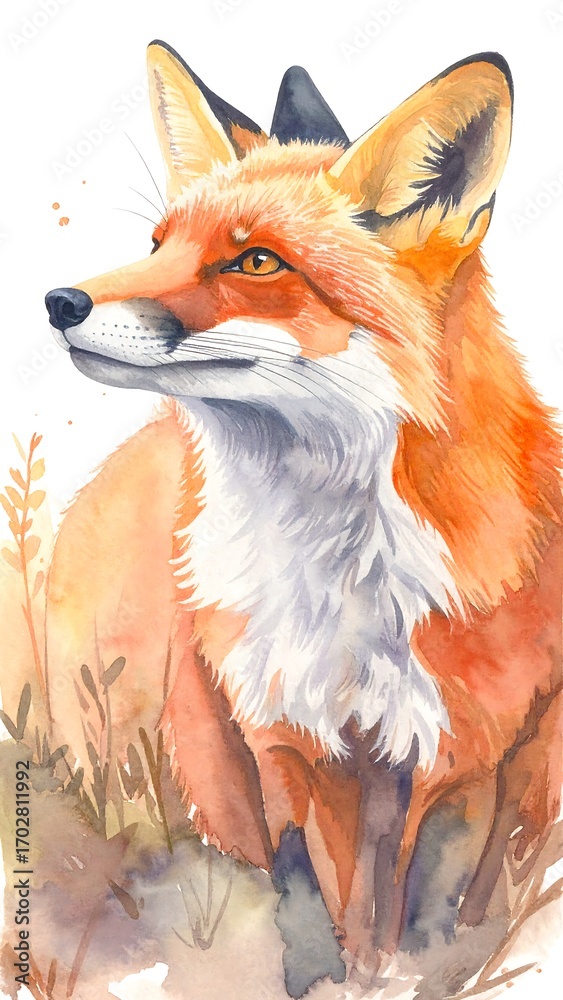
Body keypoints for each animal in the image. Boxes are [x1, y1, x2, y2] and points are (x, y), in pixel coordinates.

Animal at [44, 42, 561, 996]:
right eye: (157, 244)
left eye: (255, 262)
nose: (59, 302)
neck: (334, 582)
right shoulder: (285, 740)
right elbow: (313, 904)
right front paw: (330, 977)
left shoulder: (460, 753)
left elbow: (425, 919)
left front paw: (408, 972)